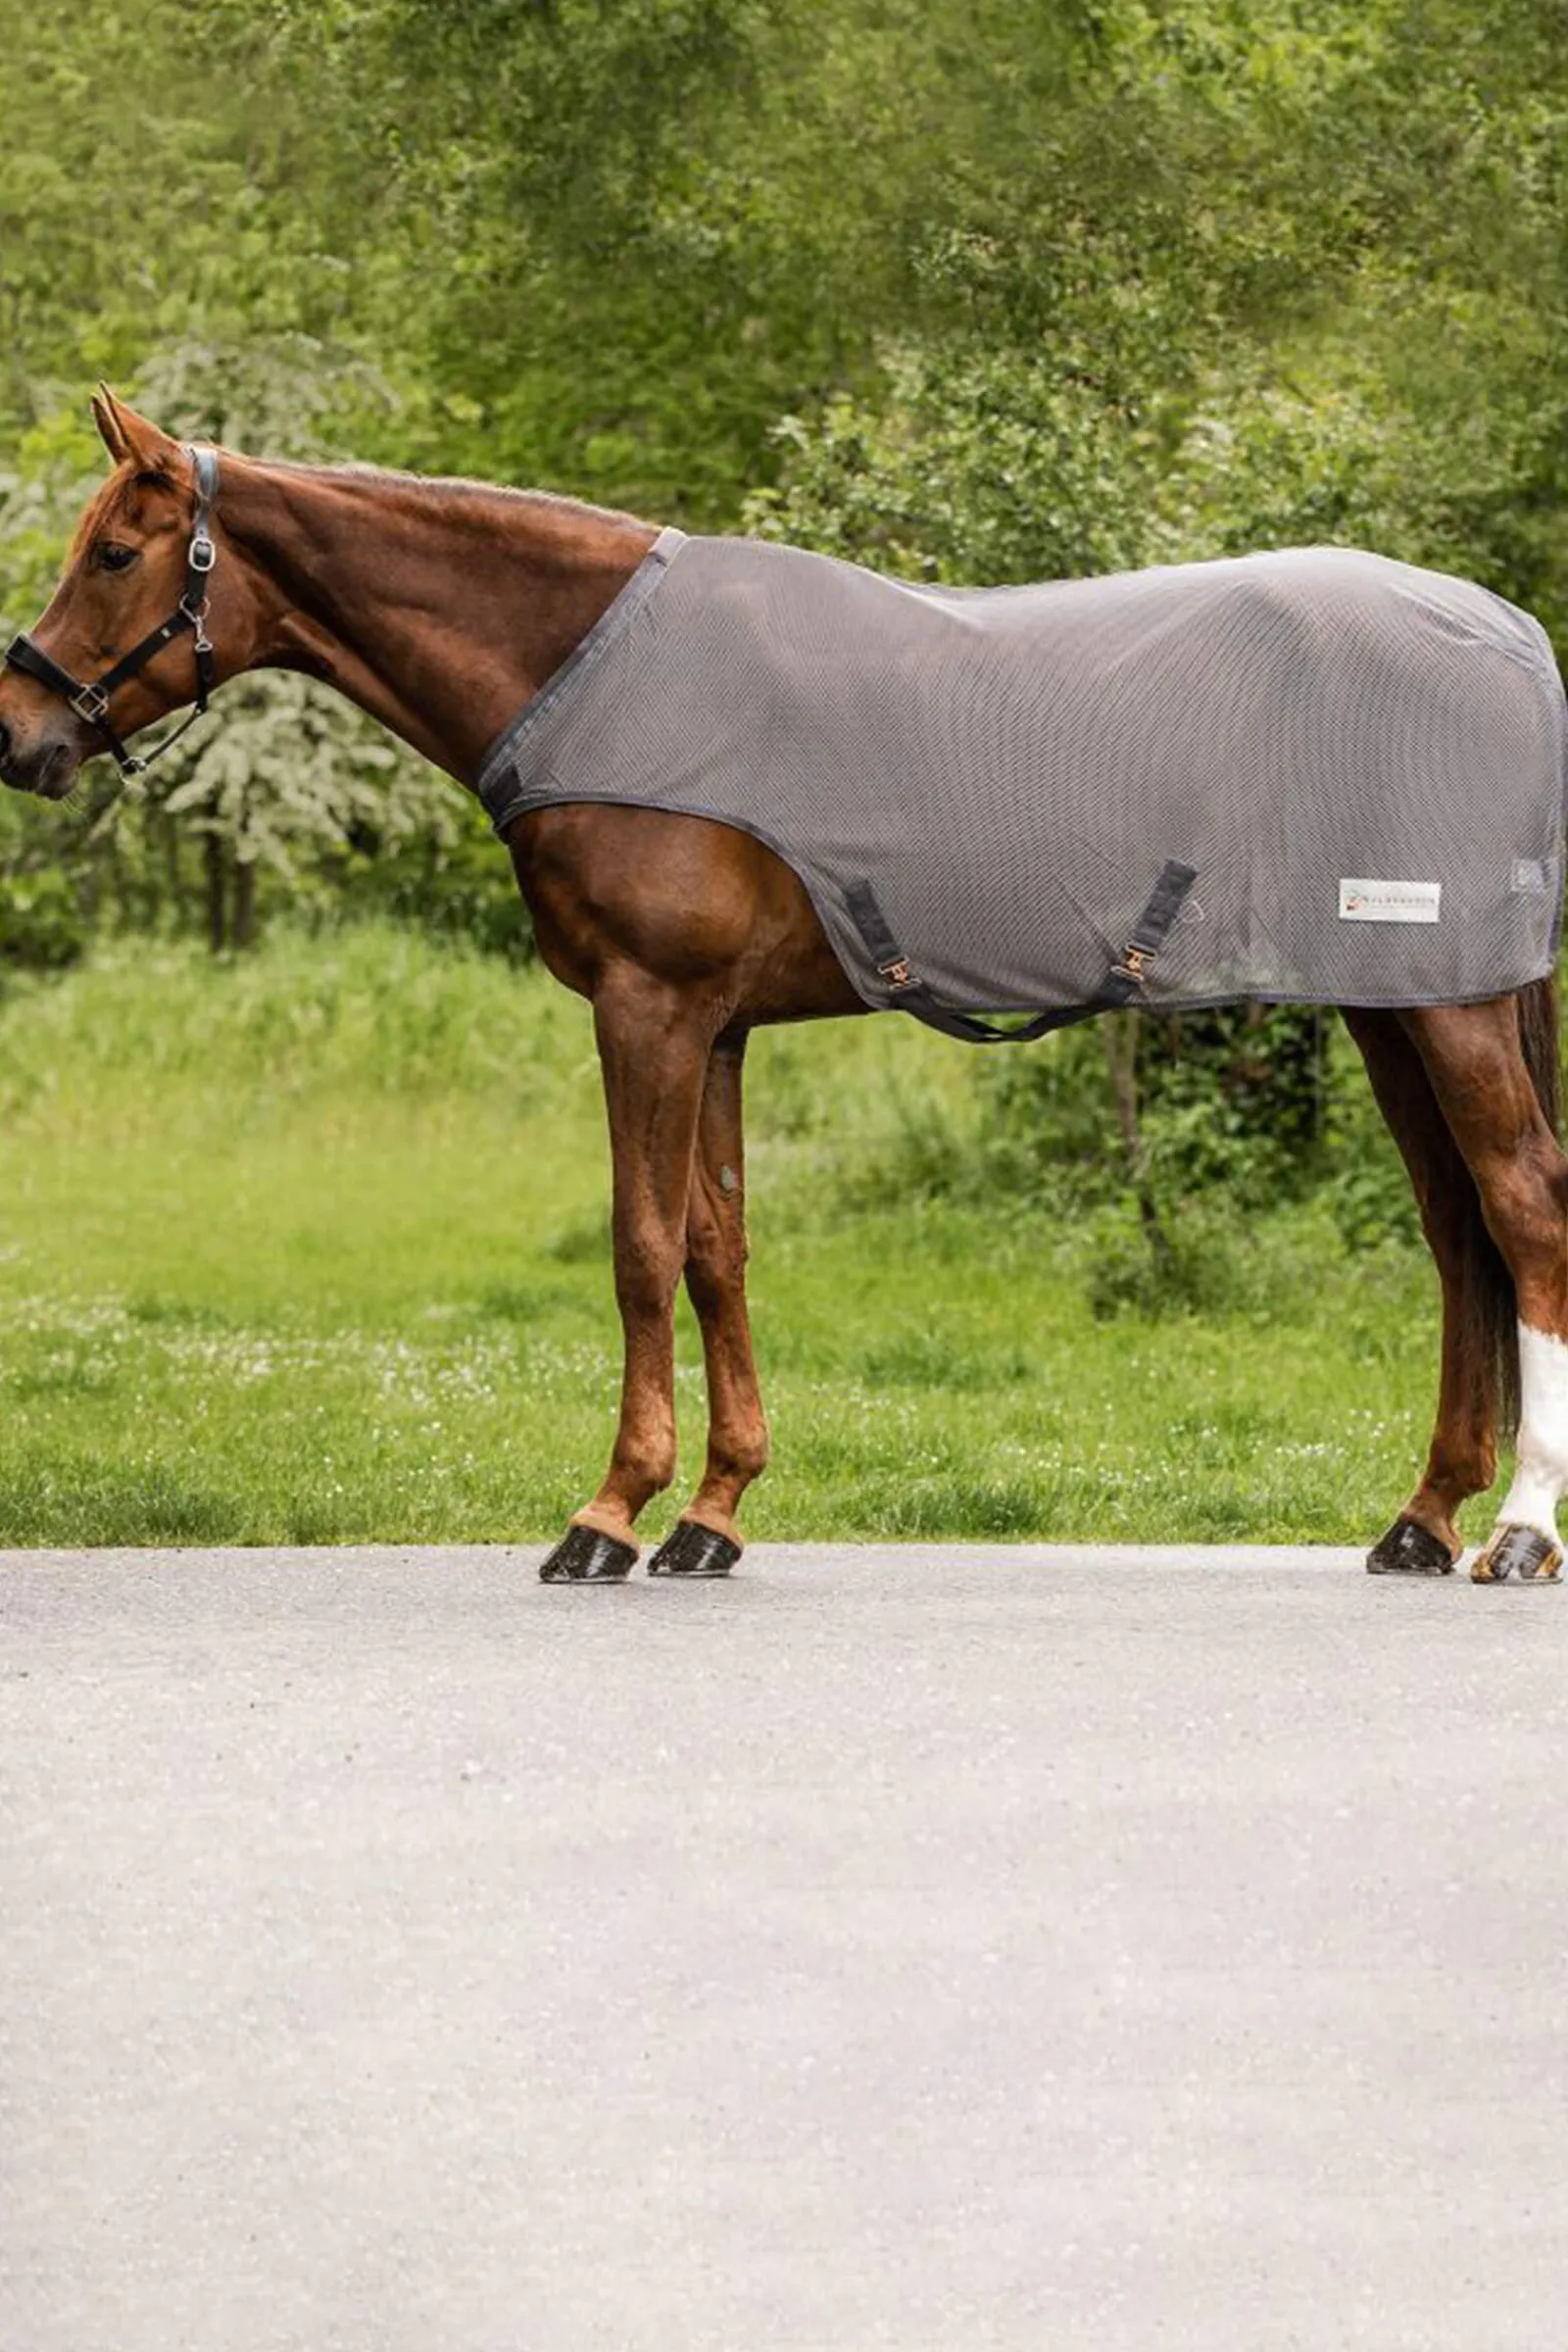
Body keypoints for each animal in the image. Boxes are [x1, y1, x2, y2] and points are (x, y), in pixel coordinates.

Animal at [0, 387, 1564, 1588]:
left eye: (120, 552)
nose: (18, 736)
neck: (591, 676)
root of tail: (1507, 635)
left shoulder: (647, 1011)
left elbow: (639, 1247)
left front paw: (608, 1513)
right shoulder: (718, 1027)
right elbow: (717, 1249)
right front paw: (712, 1513)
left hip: (1448, 1008)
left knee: (1524, 1210)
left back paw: (1523, 1529)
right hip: (1392, 1006)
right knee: (1456, 1238)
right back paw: (1426, 1518)